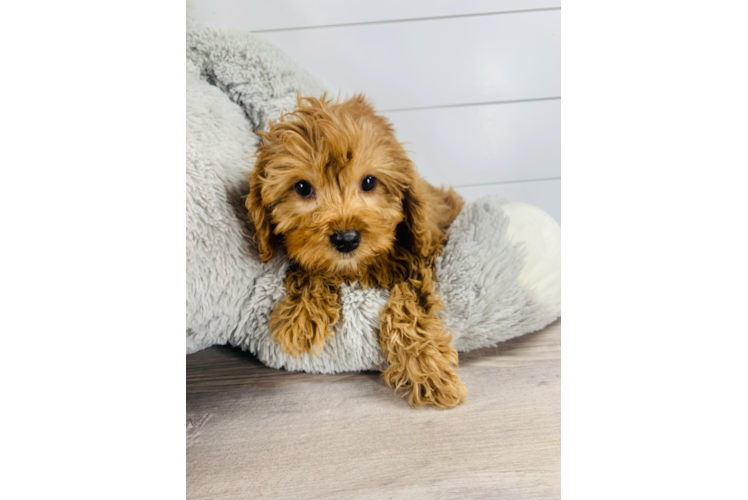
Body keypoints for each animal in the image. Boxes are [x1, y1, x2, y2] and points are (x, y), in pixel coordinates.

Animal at [248, 94, 464, 406]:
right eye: (302, 187)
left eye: (369, 182)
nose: (346, 239)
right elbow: (312, 266)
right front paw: (301, 315)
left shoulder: (417, 261)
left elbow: (408, 305)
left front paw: (427, 367)